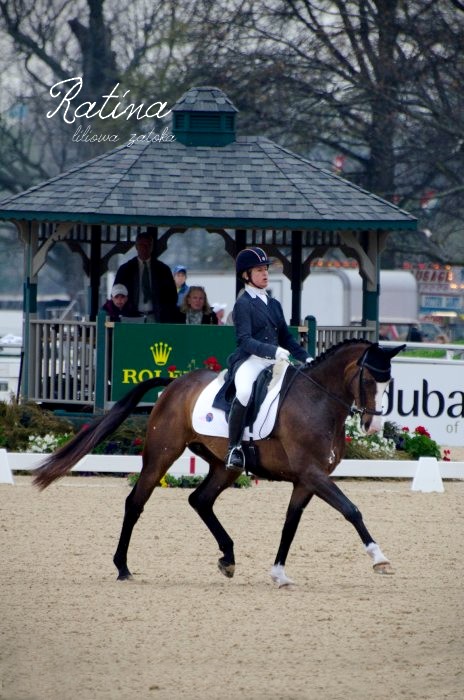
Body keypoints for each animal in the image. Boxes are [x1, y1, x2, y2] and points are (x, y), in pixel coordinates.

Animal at [33, 339, 404, 587]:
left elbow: (290, 524)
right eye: (368, 380)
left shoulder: (306, 480)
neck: (317, 401)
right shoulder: (312, 474)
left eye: (390, 382)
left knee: (200, 500)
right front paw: (381, 559)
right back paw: (122, 567)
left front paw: (279, 574)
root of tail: (175, 383)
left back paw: (228, 558)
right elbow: (351, 509)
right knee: (135, 502)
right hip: (161, 455)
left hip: (226, 466)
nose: (373, 426)